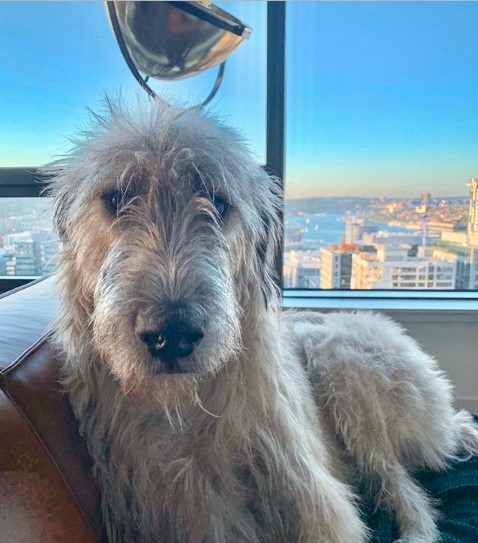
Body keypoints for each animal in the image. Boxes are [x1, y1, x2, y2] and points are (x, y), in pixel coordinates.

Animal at [47, 99, 478, 543]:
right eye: (116, 198)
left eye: (218, 203)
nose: (172, 333)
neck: (183, 408)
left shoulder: (315, 504)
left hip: (343, 363)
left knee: (406, 489)